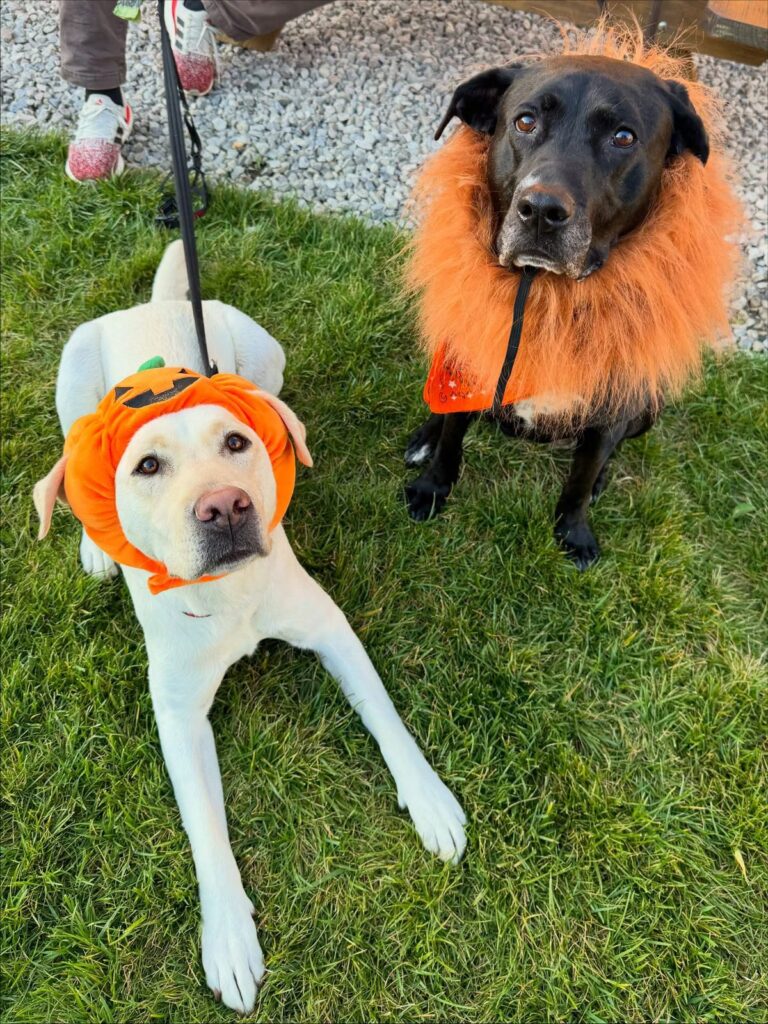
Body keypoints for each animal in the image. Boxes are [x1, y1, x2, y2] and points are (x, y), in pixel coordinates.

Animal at [34, 241, 466, 1013]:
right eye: (147, 465)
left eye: (236, 443)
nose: (226, 507)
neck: (226, 595)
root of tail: (150, 305)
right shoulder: (177, 716)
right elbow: (206, 828)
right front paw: (229, 937)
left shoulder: (332, 629)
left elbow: (386, 718)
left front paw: (430, 800)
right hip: (72, 376)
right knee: (68, 467)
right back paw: (94, 546)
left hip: (265, 352)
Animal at [404, 46, 732, 569]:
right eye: (525, 121)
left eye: (623, 137)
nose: (540, 210)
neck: (545, 292)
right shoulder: (466, 365)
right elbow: (452, 439)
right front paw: (431, 487)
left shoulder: (613, 406)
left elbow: (579, 480)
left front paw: (573, 531)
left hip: (649, 406)